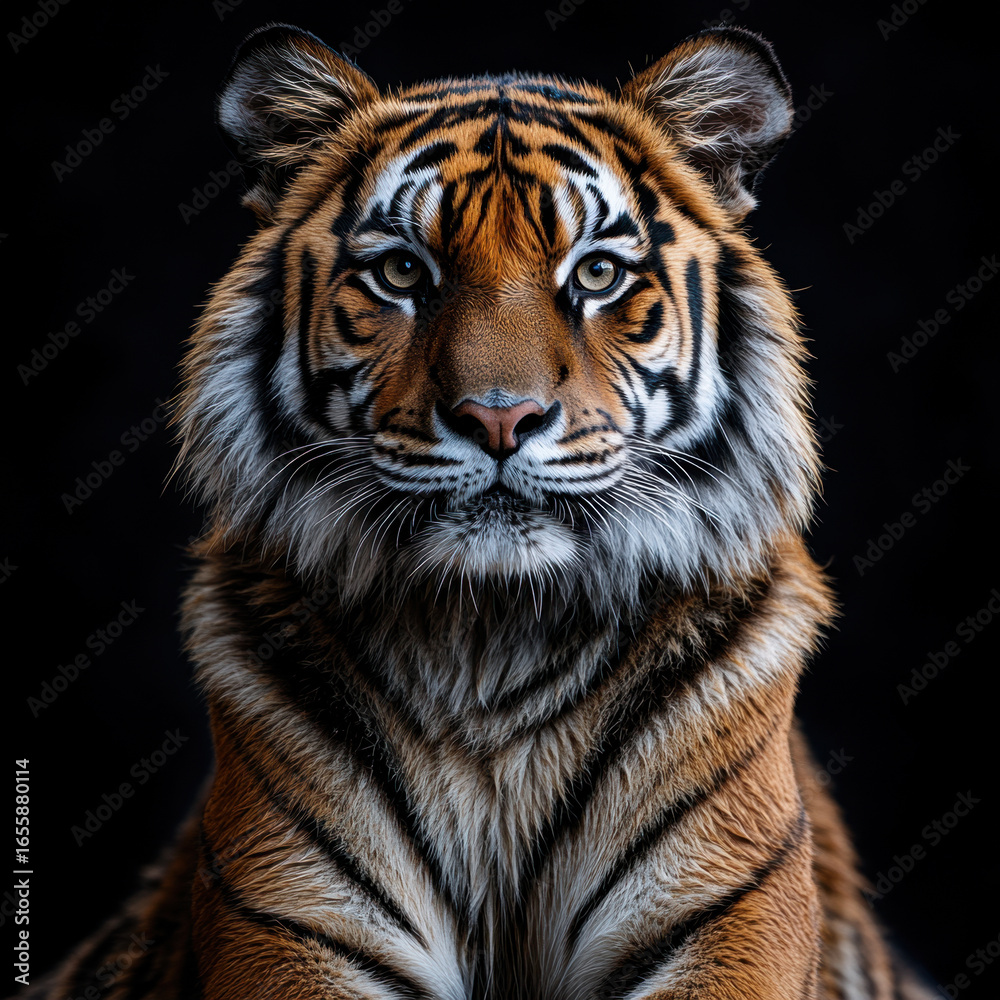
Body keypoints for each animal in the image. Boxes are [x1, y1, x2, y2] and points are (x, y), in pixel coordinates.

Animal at [20, 21, 938, 1000]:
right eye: (401, 272)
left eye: (598, 273)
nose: (500, 417)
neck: (492, 645)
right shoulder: (293, 921)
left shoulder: (723, 913)